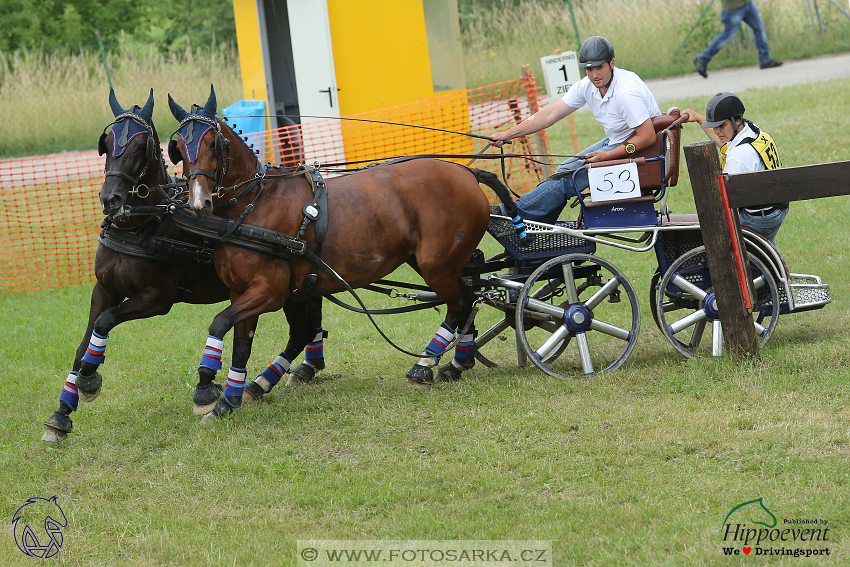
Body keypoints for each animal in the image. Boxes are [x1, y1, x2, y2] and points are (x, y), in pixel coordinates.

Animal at [42, 90, 328, 444]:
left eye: (142, 147)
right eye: (106, 143)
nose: (111, 199)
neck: (143, 223)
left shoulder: (157, 299)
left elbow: (105, 322)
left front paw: (88, 380)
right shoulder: (104, 290)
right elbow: (84, 343)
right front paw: (63, 411)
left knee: (303, 329)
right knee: (308, 327)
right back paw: (301, 368)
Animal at [164, 84, 516, 422]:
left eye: (213, 144)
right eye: (178, 148)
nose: (198, 203)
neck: (255, 206)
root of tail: (466, 173)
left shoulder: (270, 292)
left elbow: (219, 324)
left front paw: (206, 386)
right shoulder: (243, 293)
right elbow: (241, 346)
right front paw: (227, 401)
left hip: (437, 265)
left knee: (460, 304)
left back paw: (425, 366)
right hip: (433, 262)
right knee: (469, 299)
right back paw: (456, 364)